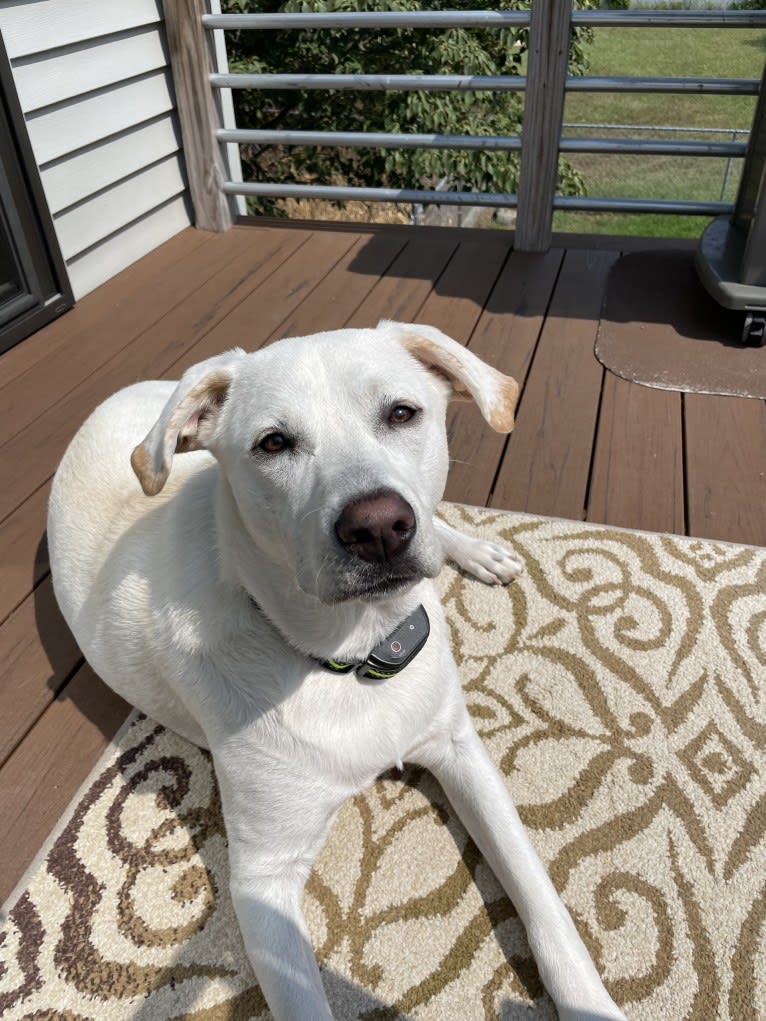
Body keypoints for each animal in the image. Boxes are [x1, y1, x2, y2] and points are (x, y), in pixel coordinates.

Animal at [48, 320, 625, 1021]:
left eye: (401, 413)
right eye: (273, 443)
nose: (378, 527)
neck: (352, 655)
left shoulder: (459, 747)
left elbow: (540, 896)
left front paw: (588, 1000)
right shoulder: (263, 879)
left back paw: (477, 551)